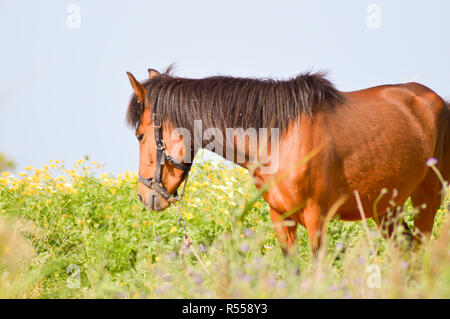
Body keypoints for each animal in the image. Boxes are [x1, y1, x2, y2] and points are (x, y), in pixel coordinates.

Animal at [124, 69, 450, 256]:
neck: (278, 139)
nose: (144, 196)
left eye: (140, 135)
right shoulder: (281, 219)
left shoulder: (317, 219)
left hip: (428, 198)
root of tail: (436, 100)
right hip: (385, 208)